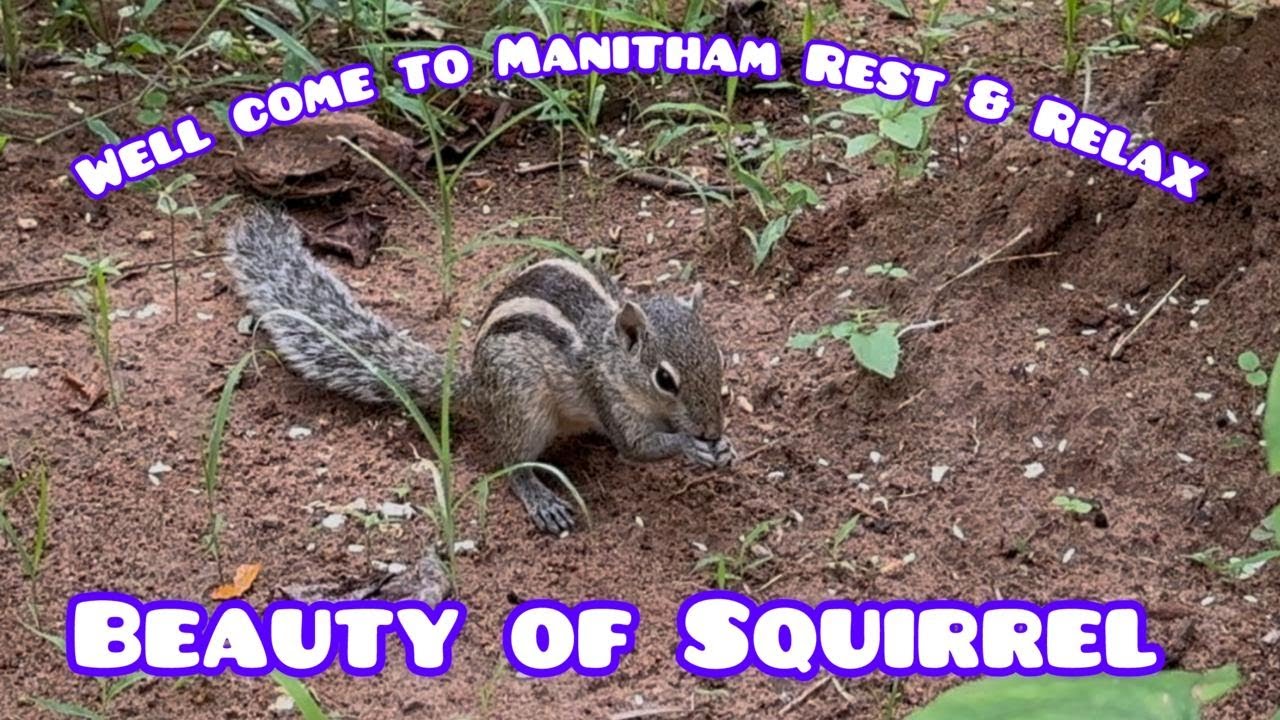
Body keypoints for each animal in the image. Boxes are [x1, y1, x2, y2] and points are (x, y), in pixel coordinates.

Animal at [225, 209, 736, 534]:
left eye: (718, 357)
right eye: (665, 379)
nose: (712, 430)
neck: (610, 353)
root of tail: (475, 386)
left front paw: (724, 448)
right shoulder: (608, 397)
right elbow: (637, 447)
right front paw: (691, 446)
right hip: (522, 404)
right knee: (510, 461)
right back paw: (540, 498)